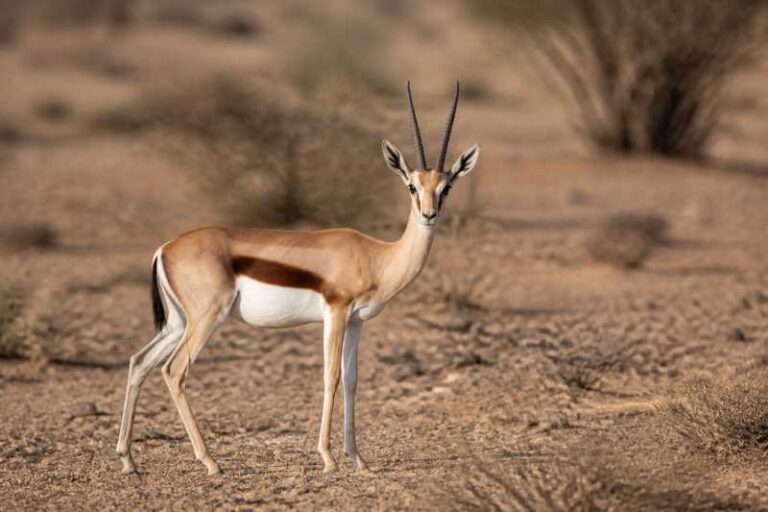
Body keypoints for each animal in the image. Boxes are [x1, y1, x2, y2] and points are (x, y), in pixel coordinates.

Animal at [116, 82, 479, 476]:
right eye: (412, 186)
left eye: (446, 188)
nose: (429, 215)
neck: (377, 256)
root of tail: (165, 248)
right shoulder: (335, 314)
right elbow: (330, 377)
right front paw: (328, 458)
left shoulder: (356, 322)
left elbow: (351, 380)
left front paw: (358, 458)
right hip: (205, 319)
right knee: (173, 370)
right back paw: (210, 461)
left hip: (179, 323)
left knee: (139, 361)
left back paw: (128, 460)